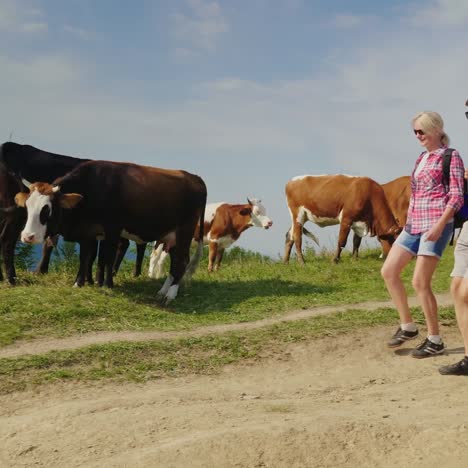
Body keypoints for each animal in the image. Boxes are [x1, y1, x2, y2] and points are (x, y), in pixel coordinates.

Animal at [15, 161, 206, 302]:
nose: (27, 236)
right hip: (171, 237)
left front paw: (107, 284)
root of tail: (195, 177)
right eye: (27, 206)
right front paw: (80, 283)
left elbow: (107, 259)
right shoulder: (89, 233)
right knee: (175, 262)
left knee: (182, 261)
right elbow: (88, 258)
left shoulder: (112, 230)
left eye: (47, 209)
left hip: (184, 232)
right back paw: (162, 290)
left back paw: (170, 294)